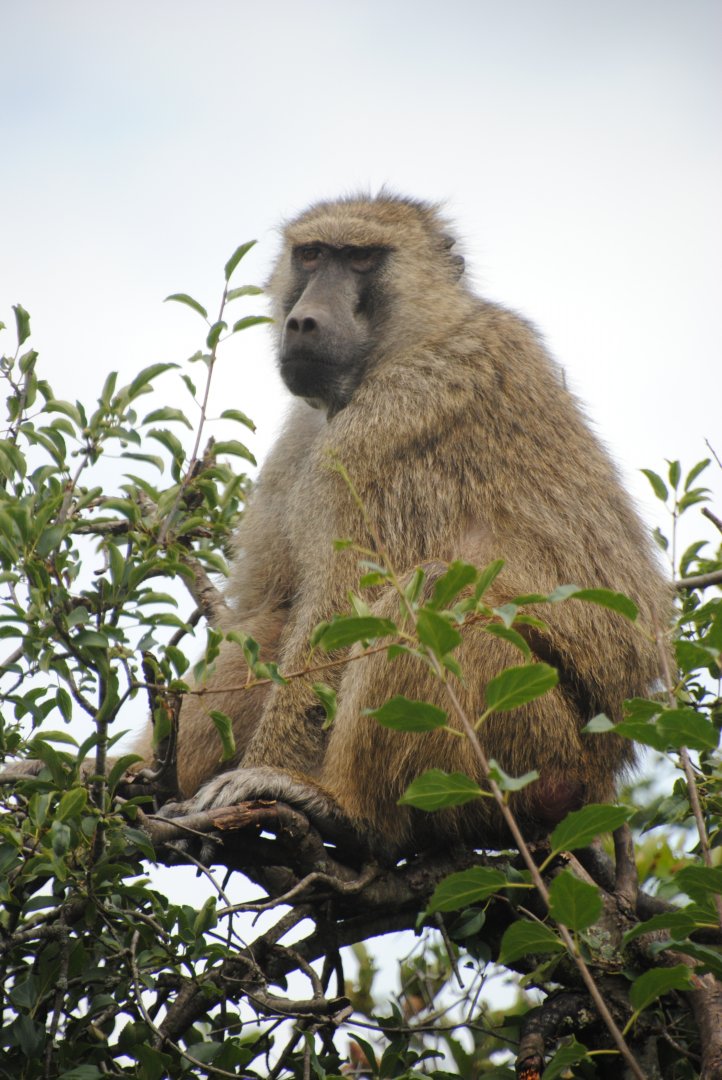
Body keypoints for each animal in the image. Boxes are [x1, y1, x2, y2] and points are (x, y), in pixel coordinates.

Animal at [4, 194, 671, 858]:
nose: (303, 321)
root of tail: (599, 777)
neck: (410, 340)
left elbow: (341, 606)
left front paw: (264, 780)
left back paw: (344, 808)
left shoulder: (391, 422)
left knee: (426, 598)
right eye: (312, 254)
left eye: (361, 258)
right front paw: (118, 772)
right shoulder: (306, 433)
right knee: (277, 623)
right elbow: (264, 607)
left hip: (530, 749)